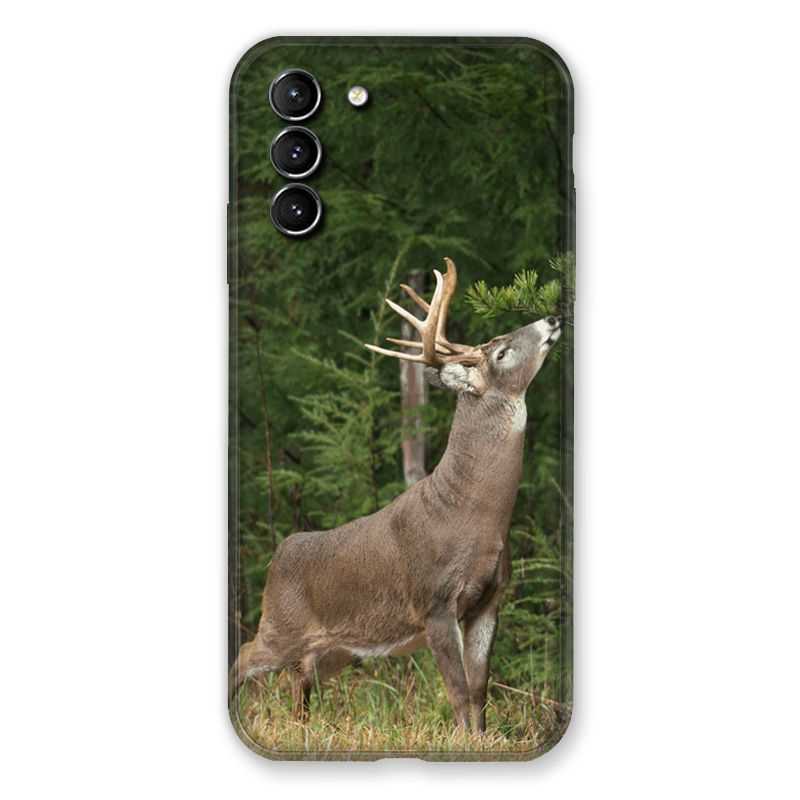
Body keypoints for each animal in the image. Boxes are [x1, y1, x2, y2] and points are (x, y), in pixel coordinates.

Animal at [231, 257, 561, 732]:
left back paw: (303, 728)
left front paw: (482, 739)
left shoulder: (490, 600)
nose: (553, 318)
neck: (474, 515)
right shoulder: (435, 602)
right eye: (501, 352)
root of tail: (278, 555)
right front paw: (463, 741)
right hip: (280, 624)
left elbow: (480, 690)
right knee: (244, 656)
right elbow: (458, 691)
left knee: (299, 683)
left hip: (333, 649)